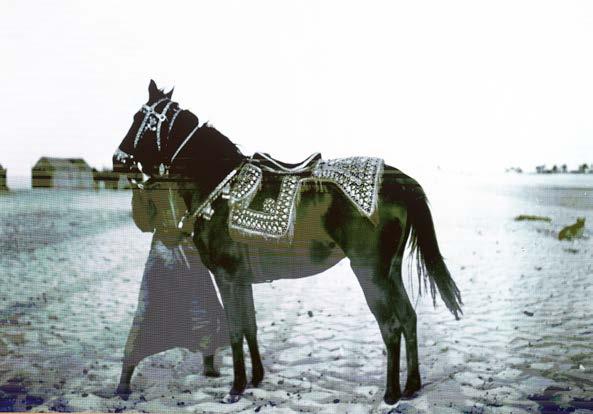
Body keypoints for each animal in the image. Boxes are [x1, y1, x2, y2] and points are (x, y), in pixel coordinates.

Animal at [112, 80, 463, 405]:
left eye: (138, 118)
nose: (118, 159)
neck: (218, 187)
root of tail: (398, 179)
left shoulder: (227, 277)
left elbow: (235, 329)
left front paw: (235, 388)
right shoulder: (242, 280)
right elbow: (250, 326)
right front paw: (255, 378)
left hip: (370, 272)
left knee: (390, 326)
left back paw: (391, 393)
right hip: (390, 271)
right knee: (408, 318)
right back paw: (412, 386)